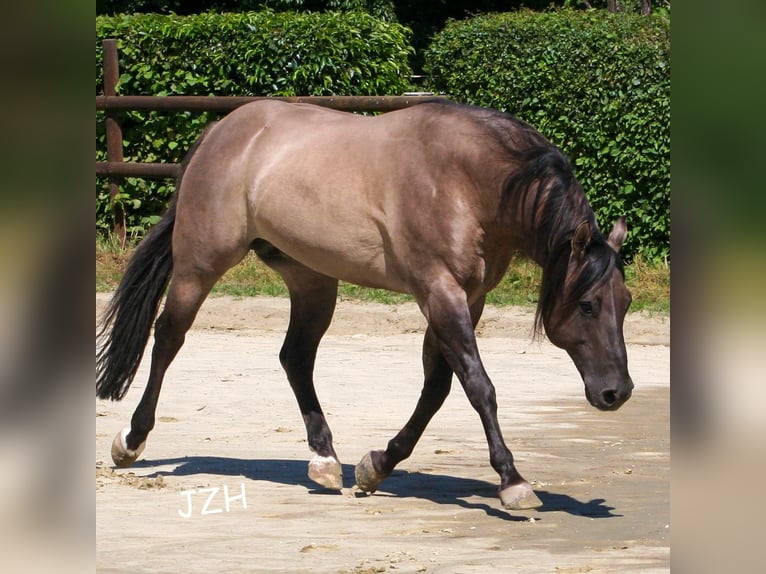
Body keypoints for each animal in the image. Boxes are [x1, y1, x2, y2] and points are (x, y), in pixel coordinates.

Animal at [96, 99, 633, 510]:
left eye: (625, 303)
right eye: (587, 304)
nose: (617, 393)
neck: (468, 181)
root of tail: (220, 130)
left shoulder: (467, 300)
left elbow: (437, 389)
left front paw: (376, 466)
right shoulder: (440, 294)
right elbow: (478, 387)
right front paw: (513, 482)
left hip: (311, 280)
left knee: (295, 357)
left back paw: (325, 461)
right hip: (199, 267)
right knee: (168, 338)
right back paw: (131, 441)